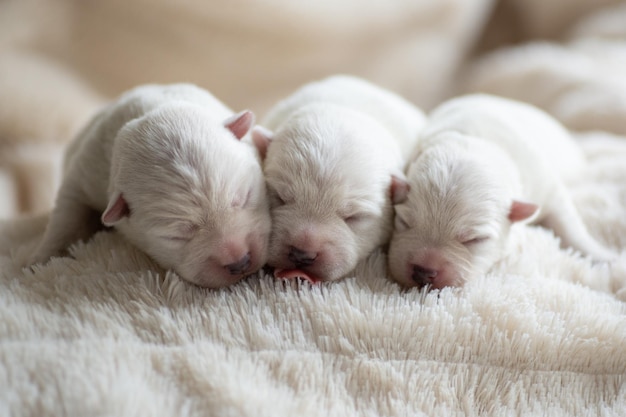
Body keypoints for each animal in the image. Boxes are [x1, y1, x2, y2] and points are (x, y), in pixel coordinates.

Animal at [30, 83, 270, 288]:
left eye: (245, 197)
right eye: (176, 236)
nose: (240, 262)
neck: (151, 111)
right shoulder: (87, 170)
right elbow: (68, 213)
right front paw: (42, 259)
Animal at [388, 93, 612, 290]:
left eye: (475, 239)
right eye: (404, 222)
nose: (423, 273)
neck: (474, 143)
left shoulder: (547, 187)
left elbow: (568, 225)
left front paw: (601, 256)